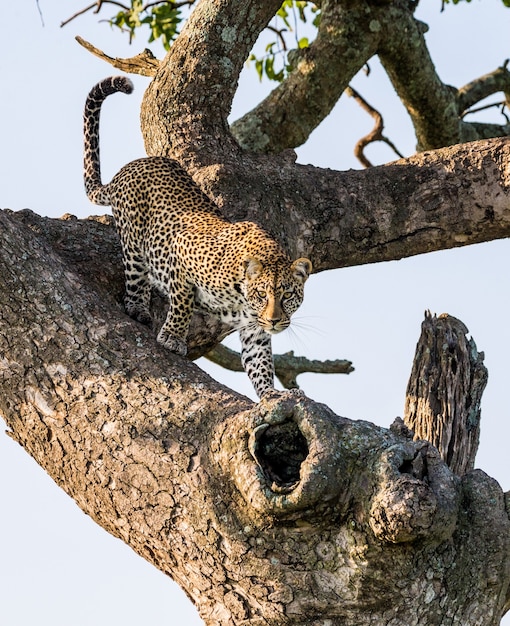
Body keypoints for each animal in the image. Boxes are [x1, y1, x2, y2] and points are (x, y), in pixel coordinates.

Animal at [82, 75, 312, 398]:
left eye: (288, 295)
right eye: (262, 295)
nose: (275, 320)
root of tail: (130, 167)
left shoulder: (254, 329)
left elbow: (260, 363)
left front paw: (270, 394)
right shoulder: (182, 255)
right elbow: (182, 304)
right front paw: (172, 338)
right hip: (133, 242)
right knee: (136, 278)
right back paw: (139, 308)